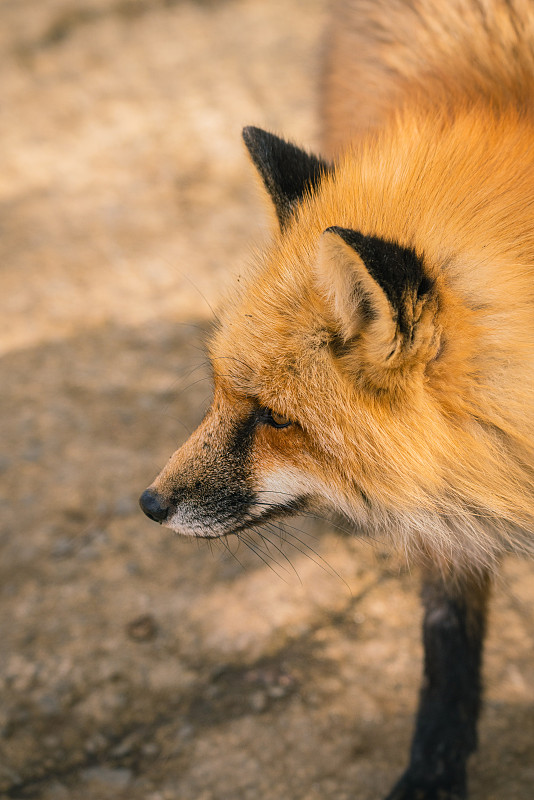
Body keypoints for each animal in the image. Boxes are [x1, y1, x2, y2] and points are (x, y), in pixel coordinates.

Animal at [139, 1, 534, 800]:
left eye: (276, 418)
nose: (149, 503)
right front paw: (433, 771)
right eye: (218, 388)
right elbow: (447, 633)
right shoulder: (446, 495)